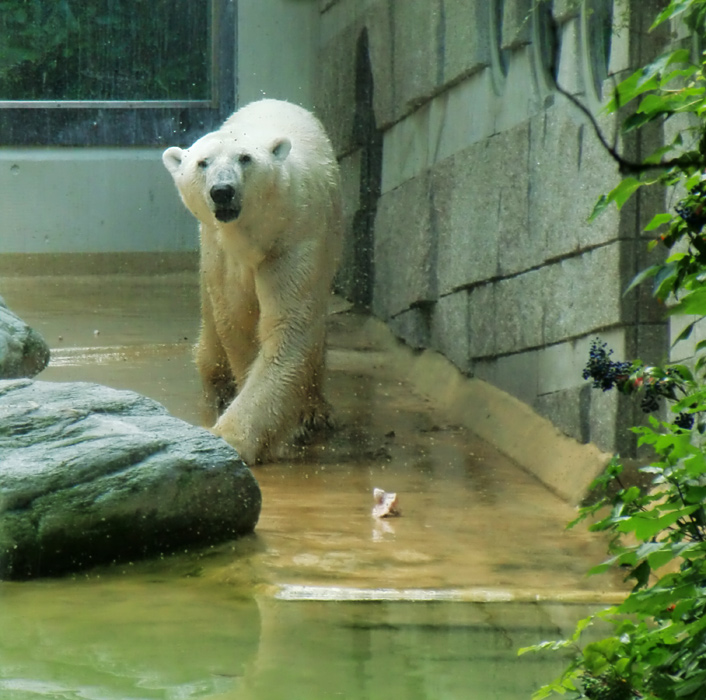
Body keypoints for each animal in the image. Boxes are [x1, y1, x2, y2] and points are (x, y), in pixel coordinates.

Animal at [163, 100, 344, 464]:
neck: (256, 234)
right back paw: (218, 390)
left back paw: (316, 408)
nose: (222, 191)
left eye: (245, 158)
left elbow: (290, 325)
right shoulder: (224, 253)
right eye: (203, 162)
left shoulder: (296, 239)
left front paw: (234, 436)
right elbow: (238, 320)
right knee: (211, 323)